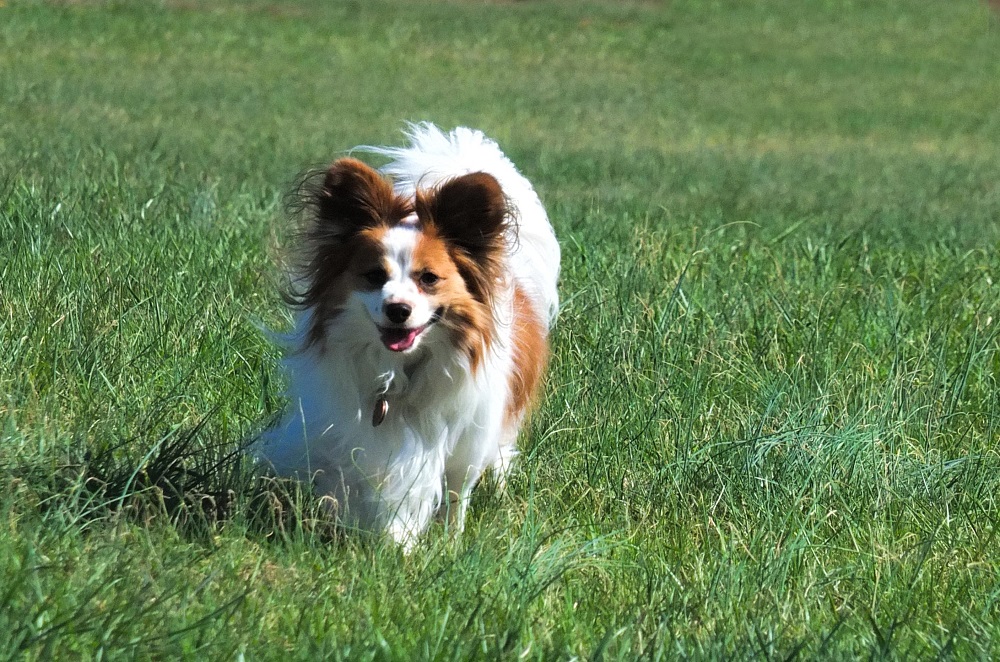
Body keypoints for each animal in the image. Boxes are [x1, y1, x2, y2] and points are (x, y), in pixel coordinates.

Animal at [254, 124, 560, 548]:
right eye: (373, 276)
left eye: (428, 278)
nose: (397, 309)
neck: (399, 370)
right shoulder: (355, 433)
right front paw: (385, 538)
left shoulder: (462, 439)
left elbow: (454, 492)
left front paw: (446, 545)